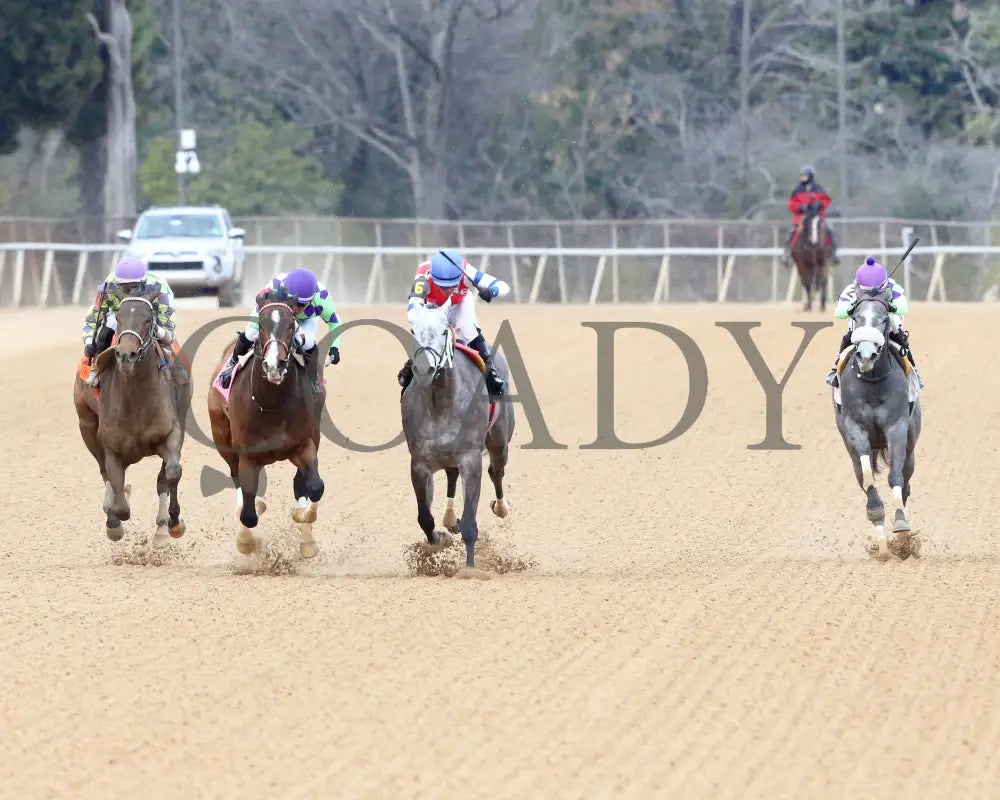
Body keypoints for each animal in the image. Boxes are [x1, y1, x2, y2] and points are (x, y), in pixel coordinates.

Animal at [73, 284, 192, 548]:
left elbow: (171, 473)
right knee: (104, 473)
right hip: (86, 427)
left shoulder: (171, 433)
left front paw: (174, 522)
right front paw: (114, 521)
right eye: (118, 318)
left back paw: (162, 528)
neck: (135, 397)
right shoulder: (111, 447)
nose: (126, 354)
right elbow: (118, 496)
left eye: (148, 319)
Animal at [207, 290, 328, 560]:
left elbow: (315, 487)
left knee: (301, 482)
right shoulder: (247, 457)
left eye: (291, 325)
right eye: (261, 325)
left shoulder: (304, 444)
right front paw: (246, 542)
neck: (272, 404)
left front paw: (303, 519)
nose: (275, 365)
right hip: (223, 439)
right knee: (237, 482)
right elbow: (248, 514)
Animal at [402, 296, 516, 580]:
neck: (440, 401)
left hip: (499, 442)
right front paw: (437, 542)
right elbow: (424, 517)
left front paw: (470, 569)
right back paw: (449, 519)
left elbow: (470, 524)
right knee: (451, 477)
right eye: (413, 331)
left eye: (444, 331)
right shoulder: (419, 463)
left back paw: (501, 506)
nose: (424, 369)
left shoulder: (470, 460)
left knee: (496, 472)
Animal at [828, 292, 920, 556]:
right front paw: (876, 514)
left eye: (883, 319)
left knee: (906, 482)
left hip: (911, 447)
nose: (866, 355)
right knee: (863, 476)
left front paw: (901, 525)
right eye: (857, 317)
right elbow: (868, 478)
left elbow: (895, 477)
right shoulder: (855, 428)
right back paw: (882, 544)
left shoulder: (897, 427)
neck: (873, 382)